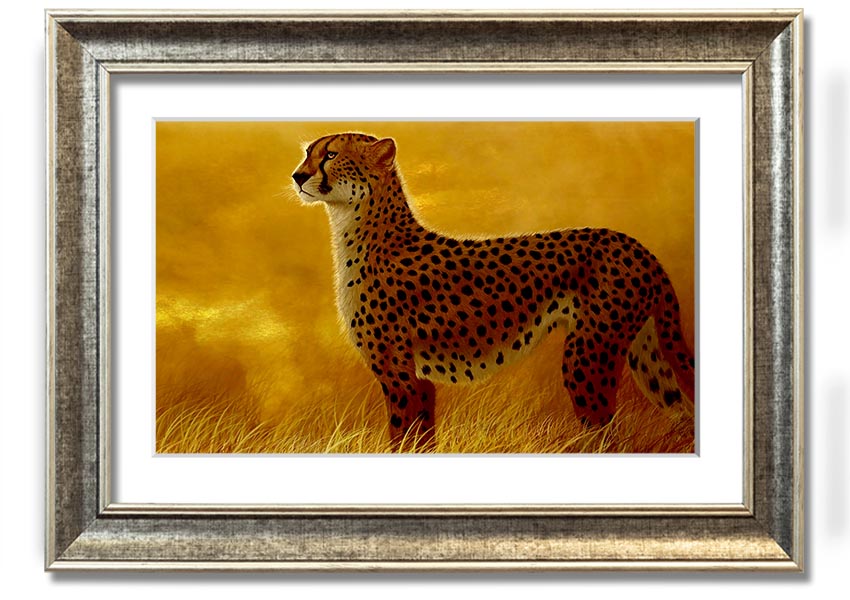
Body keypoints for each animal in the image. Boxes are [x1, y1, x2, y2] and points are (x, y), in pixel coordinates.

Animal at [292, 132, 695, 449]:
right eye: (308, 152)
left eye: (330, 155)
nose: (297, 176)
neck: (358, 226)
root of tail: (635, 244)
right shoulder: (419, 379)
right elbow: (420, 441)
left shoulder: (400, 376)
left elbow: (403, 440)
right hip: (645, 353)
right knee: (682, 411)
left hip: (588, 356)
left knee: (606, 434)